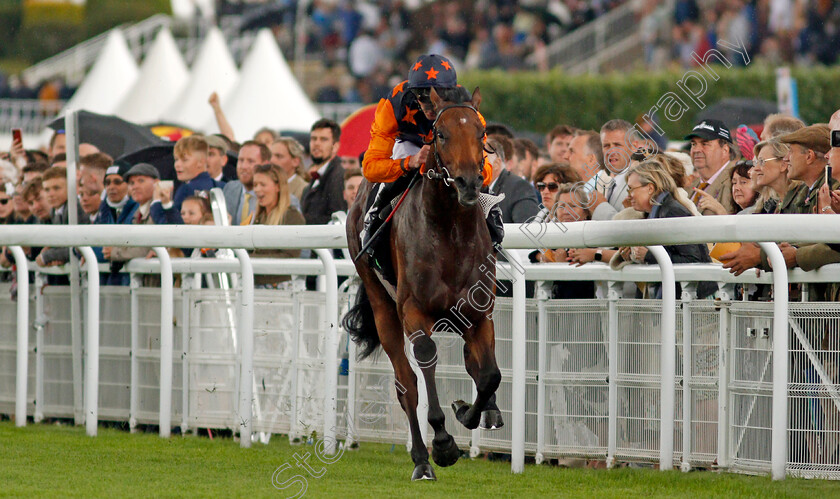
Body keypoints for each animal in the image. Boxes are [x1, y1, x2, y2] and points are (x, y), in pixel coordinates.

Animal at [344, 88, 502, 482]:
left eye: (481, 132)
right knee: (406, 384)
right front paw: (444, 443)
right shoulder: (414, 311)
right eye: (440, 134)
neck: (450, 233)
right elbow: (427, 360)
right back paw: (421, 459)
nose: (468, 184)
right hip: (381, 304)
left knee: (473, 366)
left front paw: (467, 412)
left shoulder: (479, 313)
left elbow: (489, 375)